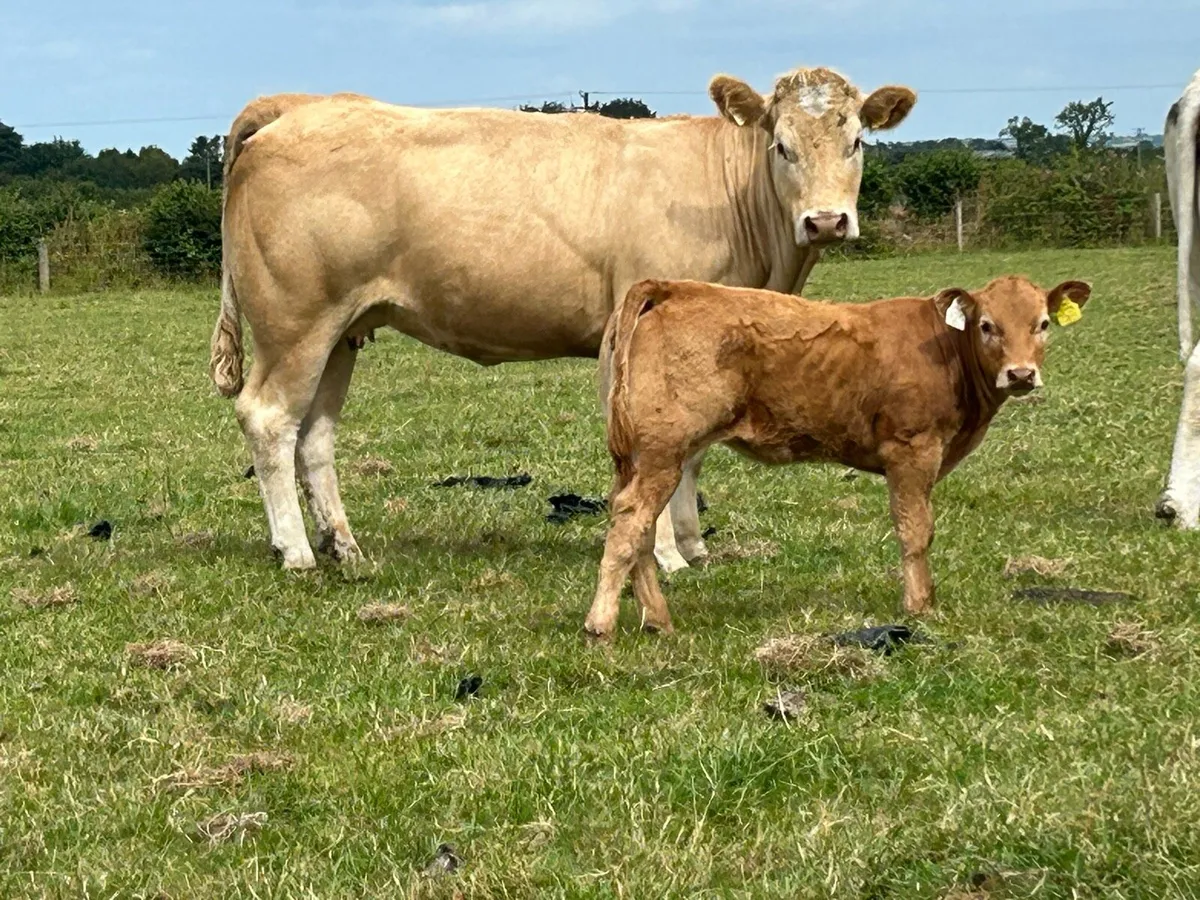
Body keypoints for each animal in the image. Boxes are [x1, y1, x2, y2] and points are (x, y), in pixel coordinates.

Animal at [210, 67, 917, 572]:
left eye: (856, 141)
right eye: (781, 145)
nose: (825, 221)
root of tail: (299, 104)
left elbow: (691, 454)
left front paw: (693, 547)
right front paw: (664, 554)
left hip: (341, 330)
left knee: (315, 435)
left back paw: (345, 548)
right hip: (295, 322)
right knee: (269, 419)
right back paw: (296, 552)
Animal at [584, 275, 1092, 638]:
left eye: (1043, 324)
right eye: (987, 326)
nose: (1021, 374)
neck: (949, 351)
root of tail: (669, 286)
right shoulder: (912, 450)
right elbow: (916, 530)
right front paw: (920, 606)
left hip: (639, 457)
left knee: (637, 526)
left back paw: (658, 620)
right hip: (663, 452)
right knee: (631, 522)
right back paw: (600, 624)